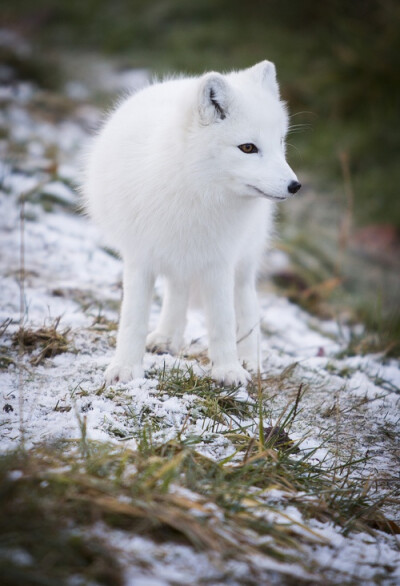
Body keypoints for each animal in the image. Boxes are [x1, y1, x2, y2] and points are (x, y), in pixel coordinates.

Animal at [86, 61, 302, 386]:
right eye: (248, 148)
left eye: (280, 142)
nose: (295, 186)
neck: (195, 191)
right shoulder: (139, 258)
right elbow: (132, 319)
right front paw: (126, 368)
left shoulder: (219, 262)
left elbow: (223, 322)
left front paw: (228, 371)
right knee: (178, 289)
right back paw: (166, 338)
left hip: (242, 263)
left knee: (245, 304)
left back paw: (250, 361)